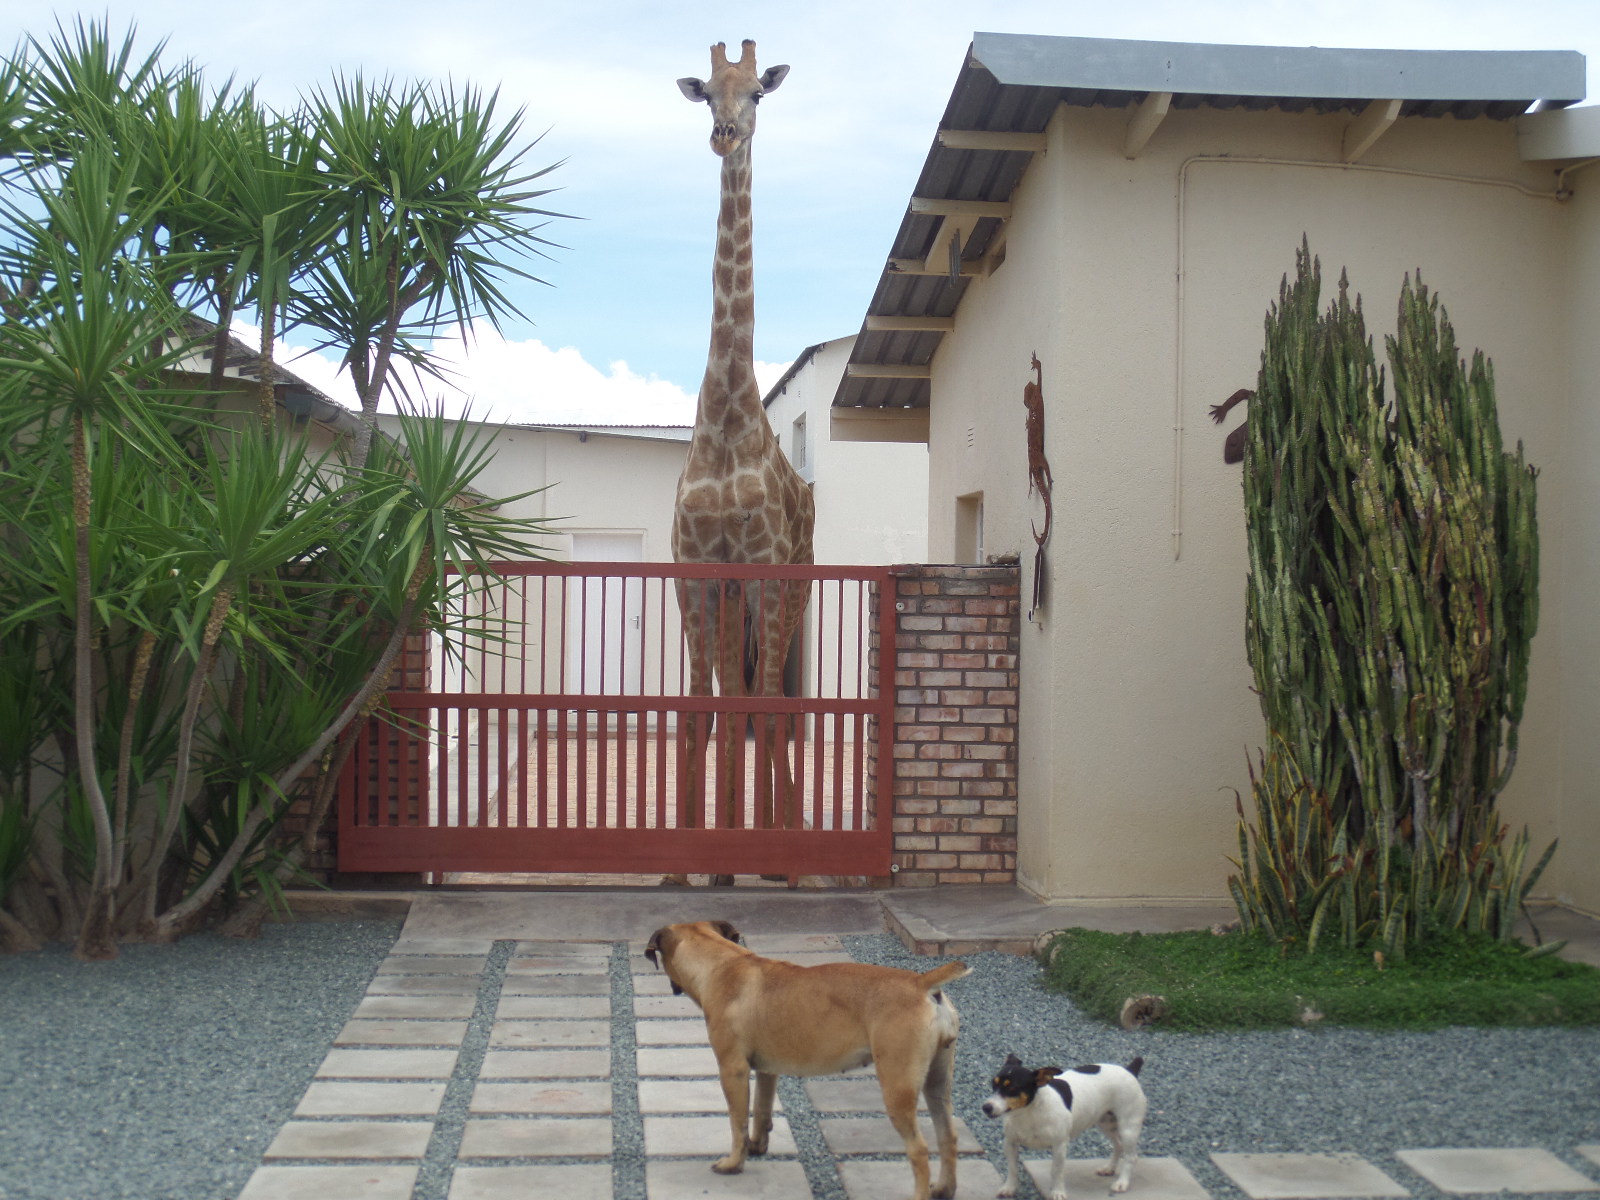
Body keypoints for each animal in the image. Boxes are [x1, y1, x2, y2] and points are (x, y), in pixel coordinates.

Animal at [643, 928, 966, 1196]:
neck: (722, 963)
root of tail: (921, 983)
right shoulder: (766, 1071)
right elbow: (761, 1109)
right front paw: (757, 1146)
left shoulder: (732, 1071)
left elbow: (738, 1121)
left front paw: (734, 1162)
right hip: (937, 1084)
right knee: (947, 1135)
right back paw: (944, 1188)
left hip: (897, 1089)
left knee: (919, 1150)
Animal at [979, 1049, 1145, 1200]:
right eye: (993, 1084)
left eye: (1012, 1088)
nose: (986, 1107)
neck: (1029, 1113)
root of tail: (1129, 1070)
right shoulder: (1010, 1143)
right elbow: (1012, 1169)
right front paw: (1009, 1188)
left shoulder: (1059, 1146)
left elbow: (1056, 1171)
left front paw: (1057, 1192)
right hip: (1107, 1124)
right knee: (1119, 1146)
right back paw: (1109, 1168)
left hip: (1128, 1128)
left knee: (1131, 1156)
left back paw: (1122, 1183)